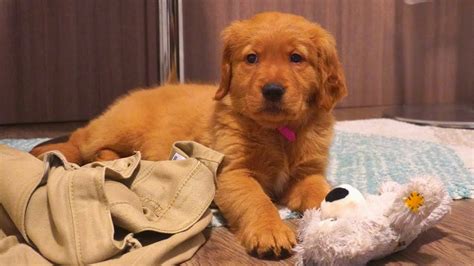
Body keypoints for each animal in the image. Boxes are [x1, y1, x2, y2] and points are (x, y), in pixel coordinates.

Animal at [31, 11, 346, 258]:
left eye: (296, 58)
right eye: (251, 58)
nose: (272, 90)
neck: (277, 131)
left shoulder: (307, 173)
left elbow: (323, 191)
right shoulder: (233, 173)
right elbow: (256, 199)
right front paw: (270, 230)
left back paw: (114, 160)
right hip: (118, 126)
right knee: (81, 136)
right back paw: (46, 150)